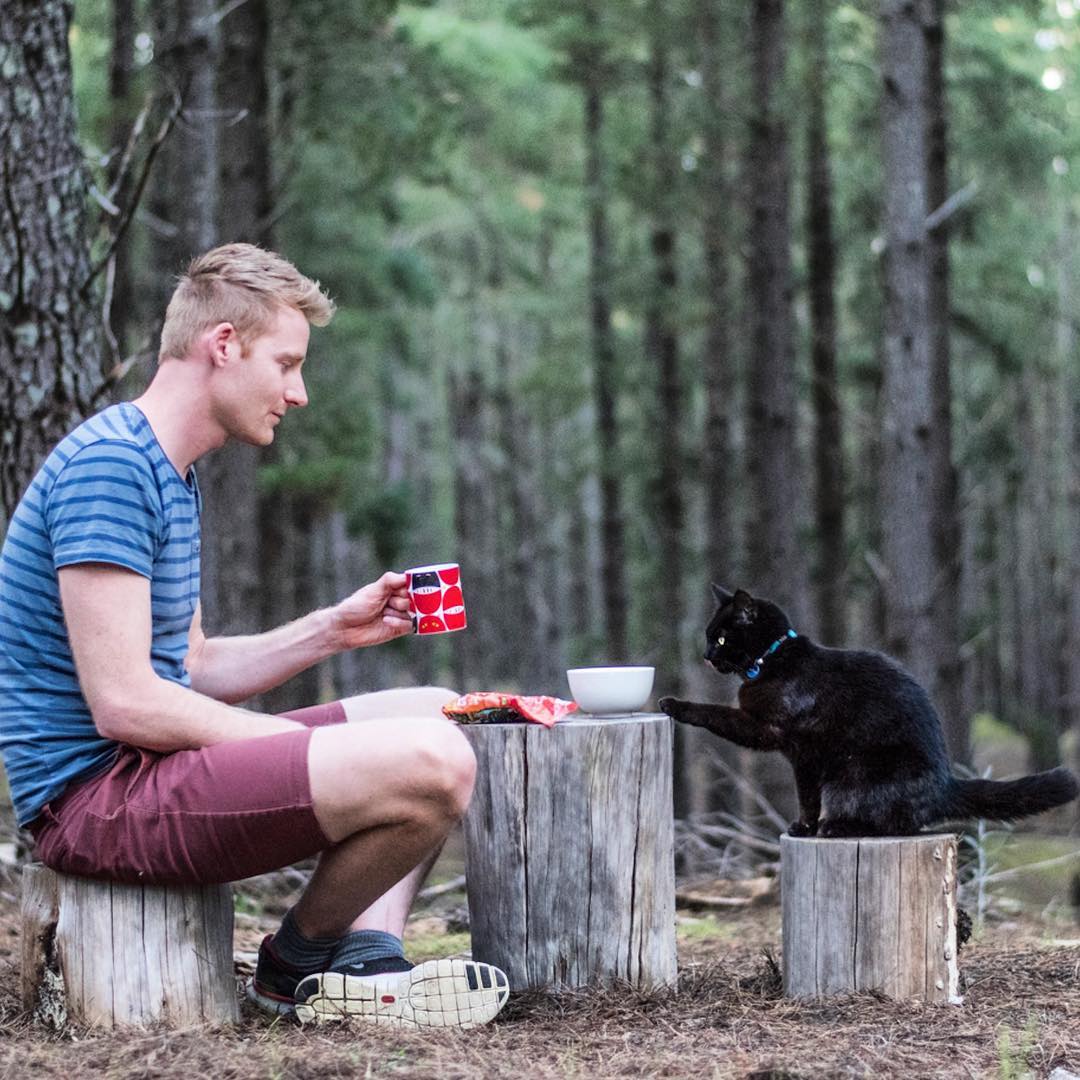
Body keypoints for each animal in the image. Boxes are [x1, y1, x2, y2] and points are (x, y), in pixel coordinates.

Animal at [656, 587, 1080, 838]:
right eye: (709, 636)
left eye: (721, 637)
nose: (705, 654)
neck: (773, 659)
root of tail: (946, 785)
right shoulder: (788, 747)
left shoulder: (785, 741)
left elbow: (719, 716)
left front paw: (674, 703)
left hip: (853, 774)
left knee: (894, 823)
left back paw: (837, 827)